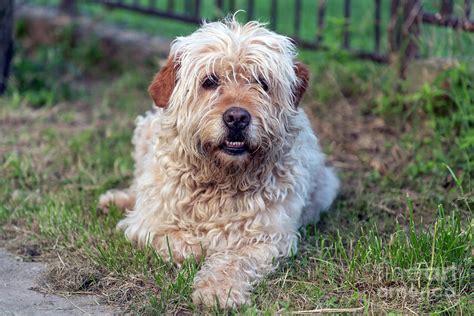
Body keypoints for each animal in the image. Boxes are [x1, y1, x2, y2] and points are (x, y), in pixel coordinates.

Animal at [98, 18, 338, 308]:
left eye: (262, 82)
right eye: (210, 81)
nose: (237, 118)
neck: (221, 179)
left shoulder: (267, 238)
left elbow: (233, 261)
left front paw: (218, 290)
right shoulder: (149, 225)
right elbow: (182, 243)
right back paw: (116, 200)